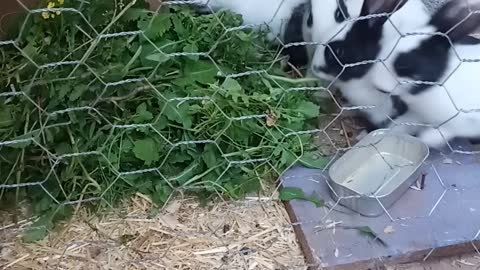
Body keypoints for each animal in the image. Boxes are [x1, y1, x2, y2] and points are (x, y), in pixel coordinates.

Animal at [368, 0, 480, 149]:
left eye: (404, 65)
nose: (376, 84)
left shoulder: (456, 125)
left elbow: (431, 137)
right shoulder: (416, 115)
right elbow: (400, 125)